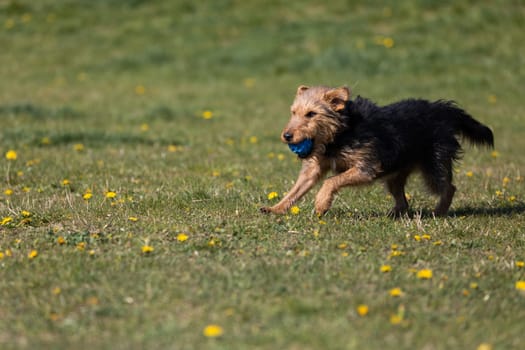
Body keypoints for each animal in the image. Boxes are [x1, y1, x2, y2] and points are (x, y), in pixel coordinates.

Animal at [260, 85, 494, 216]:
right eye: (293, 112)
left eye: (311, 114)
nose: (287, 136)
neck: (341, 133)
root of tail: (443, 109)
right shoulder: (313, 169)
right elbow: (294, 191)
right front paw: (275, 209)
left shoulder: (366, 168)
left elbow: (331, 181)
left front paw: (321, 203)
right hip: (395, 174)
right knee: (403, 200)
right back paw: (395, 214)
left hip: (433, 166)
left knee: (449, 188)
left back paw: (438, 212)